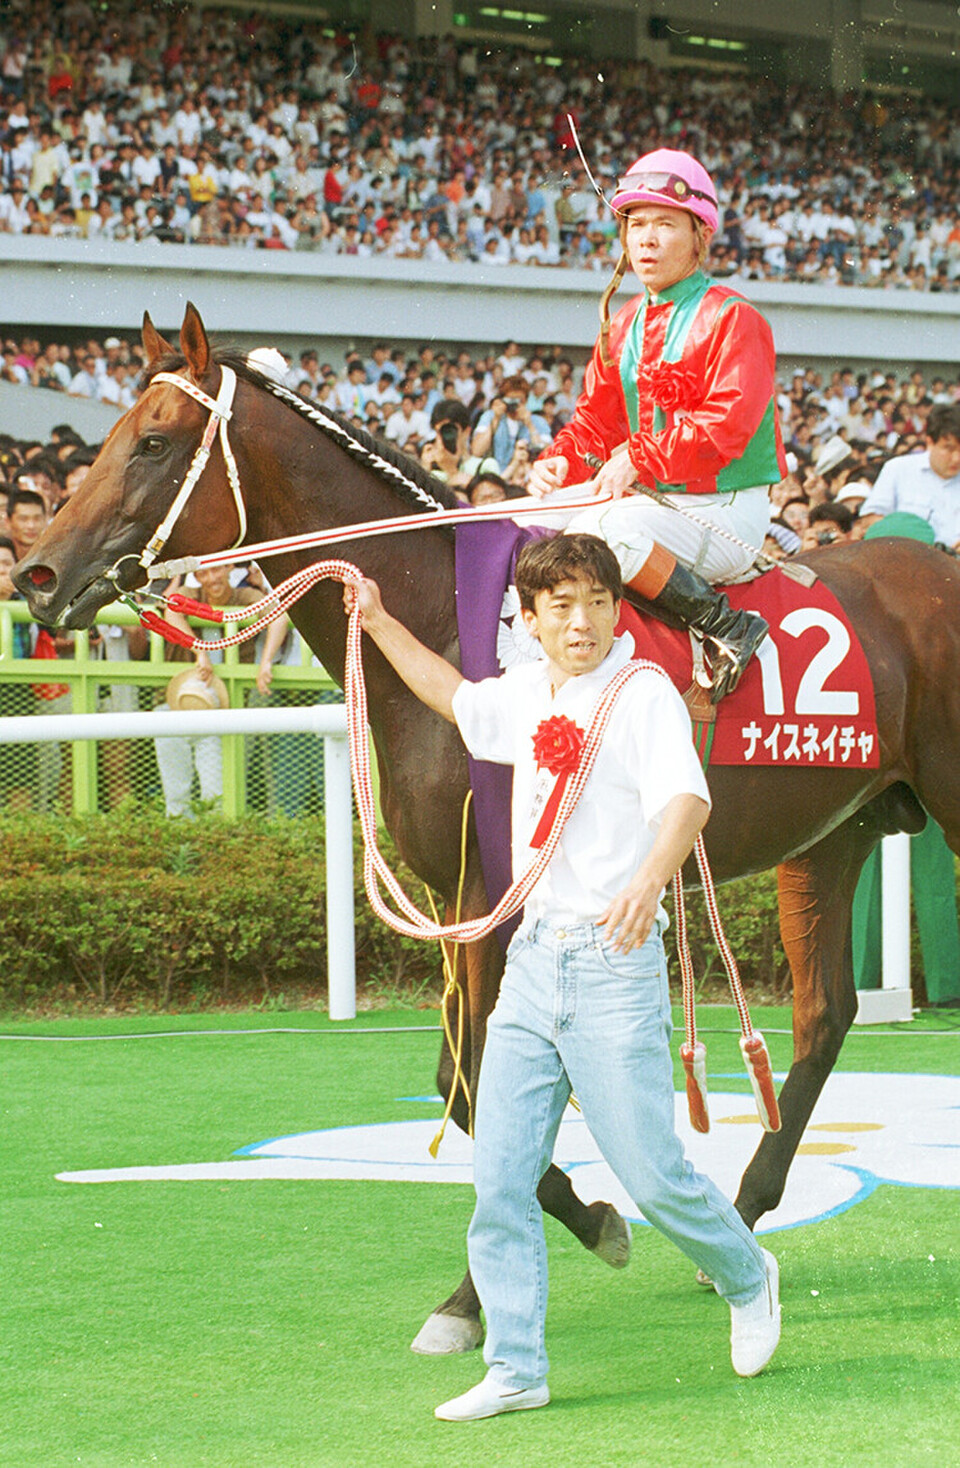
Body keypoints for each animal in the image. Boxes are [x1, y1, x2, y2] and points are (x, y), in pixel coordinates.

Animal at [15, 304, 960, 1355]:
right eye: (108, 437)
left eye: (153, 441)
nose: (39, 576)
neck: (448, 619)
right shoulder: (454, 892)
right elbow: (463, 1081)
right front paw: (568, 1236)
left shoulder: (493, 888)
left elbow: (478, 1080)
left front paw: (510, 1272)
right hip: (833, 830)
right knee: (823, 1015)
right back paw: (741, 1222)